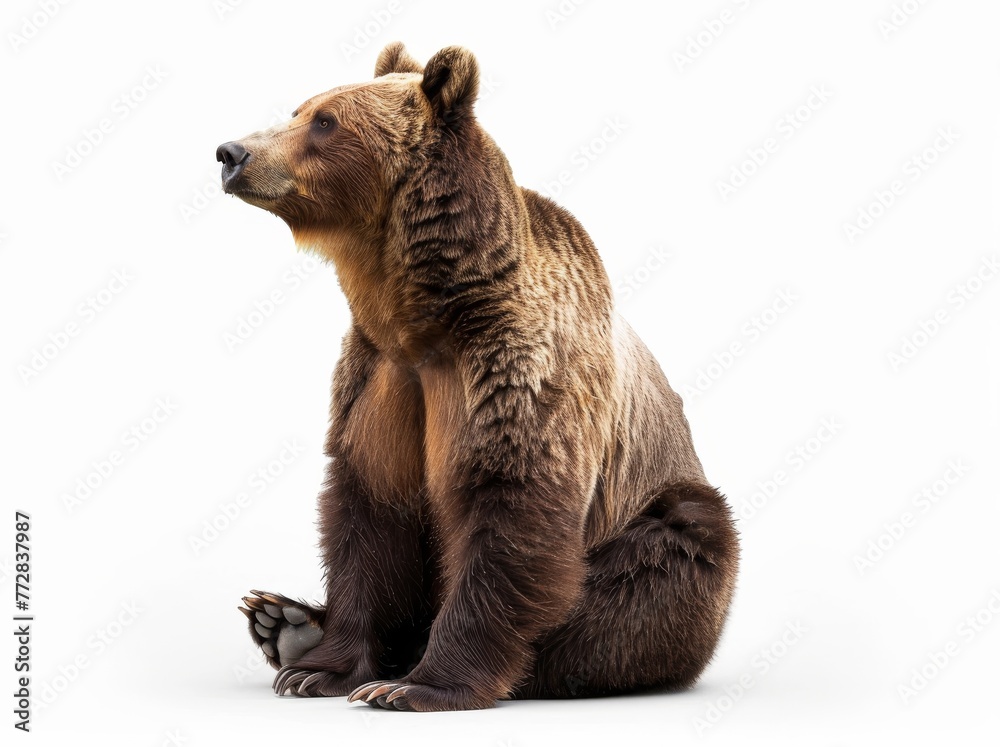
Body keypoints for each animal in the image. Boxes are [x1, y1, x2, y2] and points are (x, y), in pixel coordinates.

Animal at [218, 42, 739, 712]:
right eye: (299, 109)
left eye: (325, 121)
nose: (232, 153)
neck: (421, 314)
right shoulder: (377, 376)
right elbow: (368, 508)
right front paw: (320, 670)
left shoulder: (511, 367)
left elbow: (510, 507)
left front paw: (415, 686)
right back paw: (283, 622)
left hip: (662, 512)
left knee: (663, 560)